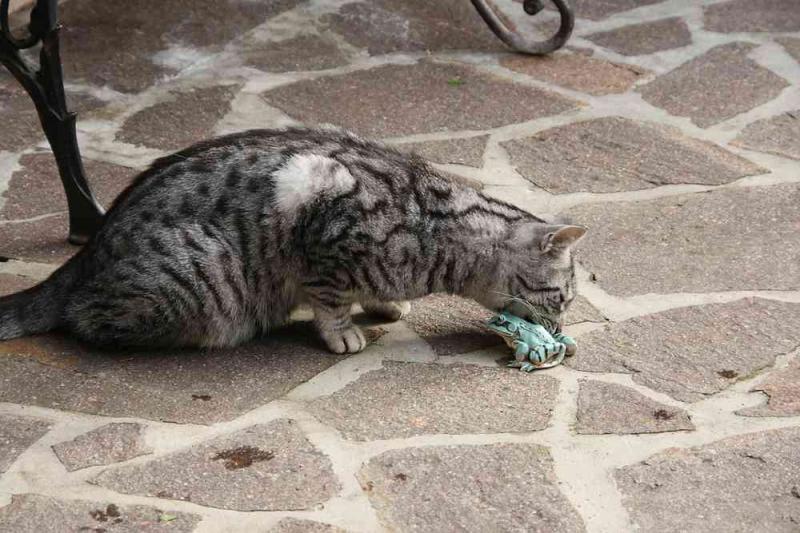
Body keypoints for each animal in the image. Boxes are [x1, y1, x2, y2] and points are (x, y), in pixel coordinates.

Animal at [0, 127, 585, 354]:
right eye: (561, 298)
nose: (560, 327)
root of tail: (89, 250)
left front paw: (385, 304)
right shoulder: (321, 218)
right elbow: (330, 300)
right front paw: (342, 332)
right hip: (197, 281)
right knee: (83, 318)